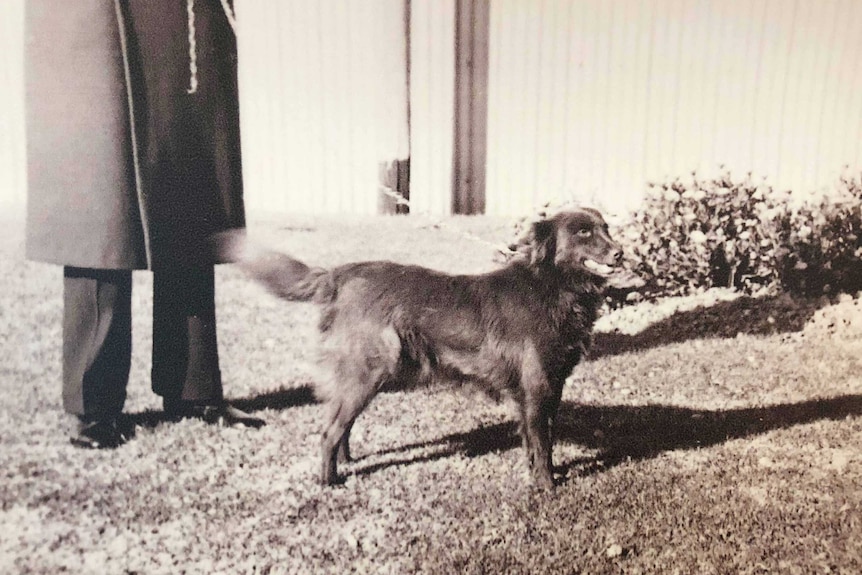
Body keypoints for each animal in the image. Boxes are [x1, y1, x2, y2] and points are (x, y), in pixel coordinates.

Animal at [223, 209, 624, 488]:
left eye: (607, 227)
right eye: (583, 232)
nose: (621, 253)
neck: (553, 285)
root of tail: (340, 273)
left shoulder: (550, 387)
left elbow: (539, 440)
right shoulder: (536, 388)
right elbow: (542, 445)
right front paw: (546, 486)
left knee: (340, 425)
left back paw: (346, 463)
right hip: (367, 373)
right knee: (329, 431)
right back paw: (328, 481)